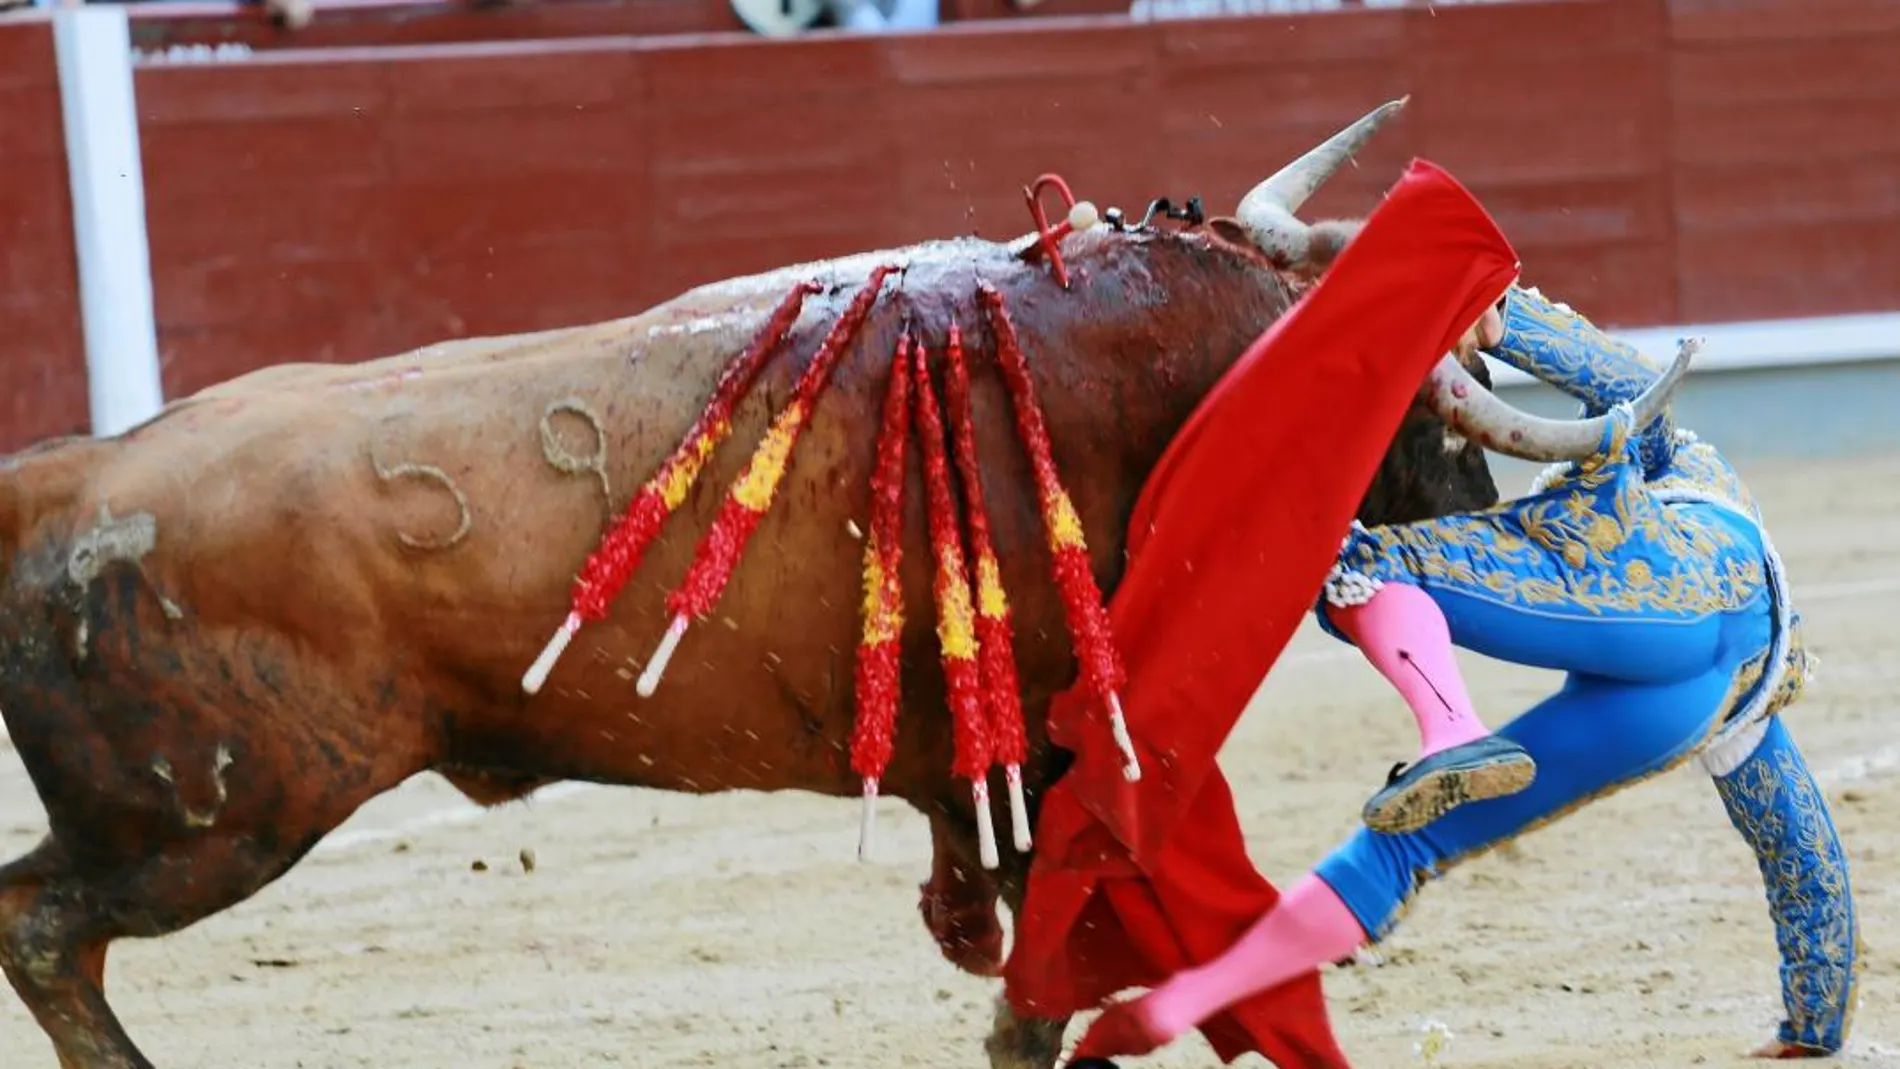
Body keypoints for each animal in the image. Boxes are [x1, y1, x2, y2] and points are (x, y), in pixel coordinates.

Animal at [0, 100, 1634, 1069]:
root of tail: (62, 480)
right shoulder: (1053, 773)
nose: (1479, 515)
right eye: (1421, 407)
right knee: (42, 924)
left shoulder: (991, 790)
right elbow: (1043, 991)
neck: (1148, 382)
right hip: (214, 815)